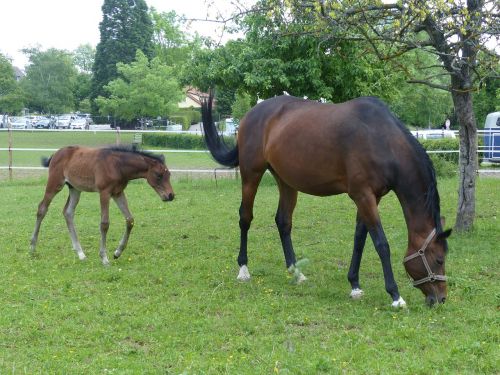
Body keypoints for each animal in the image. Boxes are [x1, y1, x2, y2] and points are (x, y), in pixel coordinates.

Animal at [30, 145, 176, 266]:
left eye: (169, 174)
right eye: (158, 175)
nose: (170, 195)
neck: (118, 166)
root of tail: (56, 153)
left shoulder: (118, 193)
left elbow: (130, 220)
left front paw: (117, 252)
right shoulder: (104, 192)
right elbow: (105, 223)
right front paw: (104, 258)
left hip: (75, 188)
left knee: (68, 212)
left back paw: (80, 253)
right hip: (55, 184)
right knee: (42, 208)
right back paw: (32, 247)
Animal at [201, 92, 452, 306]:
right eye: (439, 259)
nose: (440, 299)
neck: (380, 139)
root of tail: (250, 114)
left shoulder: (372, 197)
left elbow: (360, 238)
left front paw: (354, 285)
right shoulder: (363, 195)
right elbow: (381, 243)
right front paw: (395, 295)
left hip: (286, 181)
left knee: (283, 221)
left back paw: (296, 272)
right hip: (251, 174)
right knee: (245, 217)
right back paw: (243, 270)